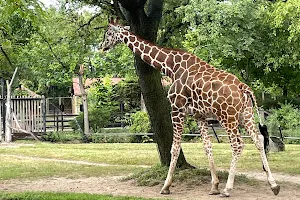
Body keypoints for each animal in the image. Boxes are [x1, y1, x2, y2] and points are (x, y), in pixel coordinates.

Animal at [100, 18, 278, 197]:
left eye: (108, 33)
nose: (102, 46)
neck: (170, 66)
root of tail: (243, 87)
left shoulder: (176, 110)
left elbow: (175, 148)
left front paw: (166, 186)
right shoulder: (199, 115)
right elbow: (207, 147)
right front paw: (214, 186)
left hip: (227, 117)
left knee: (237, 145)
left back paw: (228, 189)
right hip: (245, 115)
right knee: (258, 139)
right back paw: (274, 185)